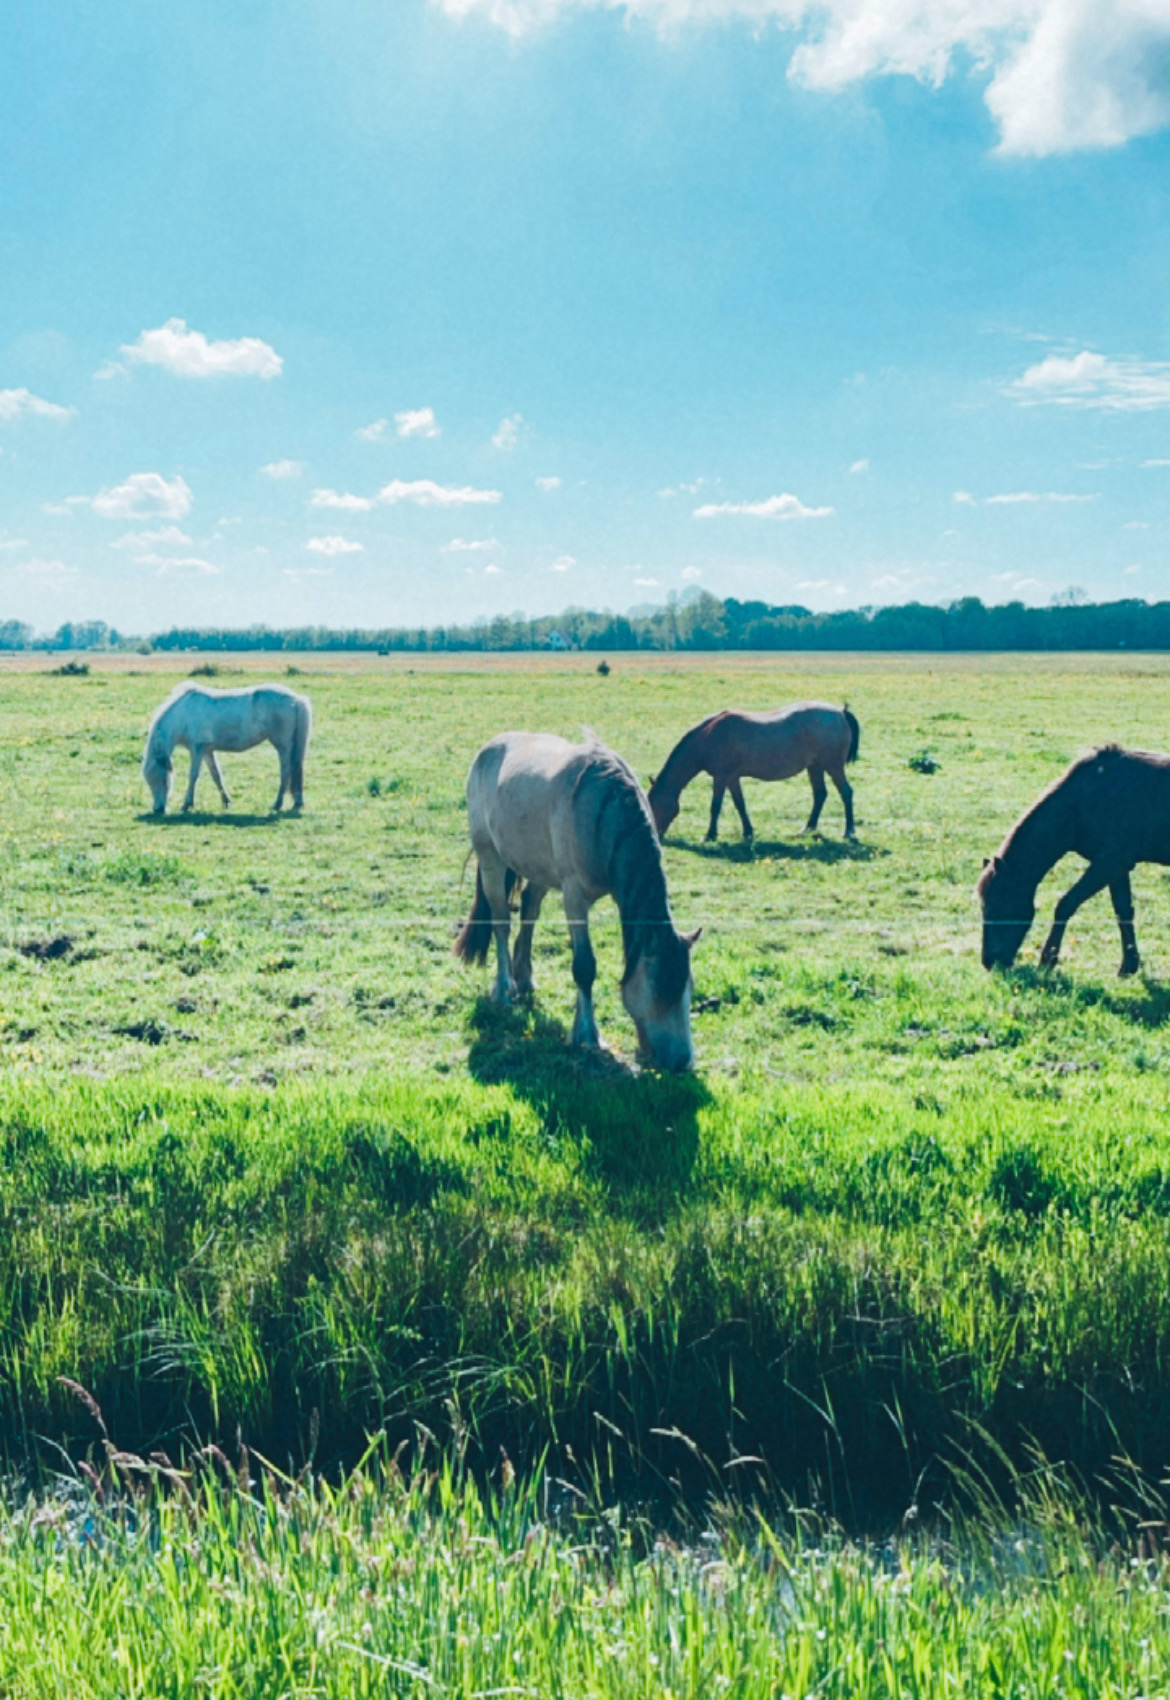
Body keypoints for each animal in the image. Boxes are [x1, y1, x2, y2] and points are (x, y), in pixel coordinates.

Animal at [141, 680, 312, 812]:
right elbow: (216, 776)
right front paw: (226, 801)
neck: (183, 714)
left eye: (161, 778)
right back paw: (296, 803)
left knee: (286, 772)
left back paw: (278, 804)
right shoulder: (207, 751)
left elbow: (193, 776)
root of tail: (296, 700)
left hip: (283, 747)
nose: (158, 809)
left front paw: (187, 804)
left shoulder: (197, 749)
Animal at [455, 727, 693, 1067]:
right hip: (490, 859)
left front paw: (579, 1025)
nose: (683, 1061)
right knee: (501, 923)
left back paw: (524, 978)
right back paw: (505, 988)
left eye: (689, 987)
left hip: (538, 869)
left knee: (529, 911)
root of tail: (489, 747)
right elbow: (584, 965)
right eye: (660, 986)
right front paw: (588, 1034)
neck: (603, 812)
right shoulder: (574, 899)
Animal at [649, 697, 860, 843]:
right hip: (815, 767)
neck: (709, 737)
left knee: (846, 792)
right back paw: (808, 828)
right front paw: (748, 832)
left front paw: (710, 835)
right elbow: (740, 804)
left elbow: (715, 806)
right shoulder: (732, 778)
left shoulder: (721, 778)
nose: (657, 837)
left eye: (653, 805)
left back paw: (848, 831)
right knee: (820, 794)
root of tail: (840, 712)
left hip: (833, 766)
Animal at [972, 748, 1170, 979]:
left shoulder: (1108, 863)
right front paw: (1129, 966)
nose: (989, 962)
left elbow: (1065, 904)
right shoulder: (1118, 868)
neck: (1082, 801)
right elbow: (1123, 911)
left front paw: (1047, 960)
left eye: (996, 905)